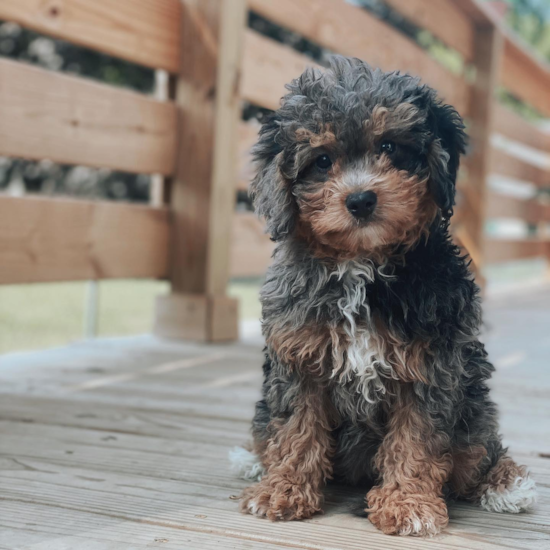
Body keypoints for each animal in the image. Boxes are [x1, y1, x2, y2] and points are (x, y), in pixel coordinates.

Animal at [231, 57, 536, 540]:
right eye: (322, 160)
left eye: (390, 145)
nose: (360, 200)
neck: (361, 265)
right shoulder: (298, 357)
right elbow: (295, 427)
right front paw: (283, 489)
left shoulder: (431, 366)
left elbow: (416, 439)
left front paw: (407, 502)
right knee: (267, 431)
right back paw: (254, 461)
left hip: (472, 400)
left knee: (478, 451)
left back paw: (506, 484)